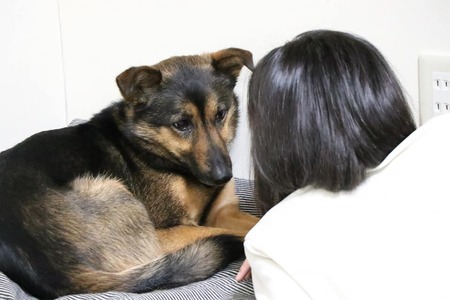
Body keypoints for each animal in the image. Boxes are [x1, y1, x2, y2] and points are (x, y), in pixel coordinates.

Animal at [0, 48, 258, 298]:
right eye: (181, 124)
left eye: (220, 115)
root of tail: (58, 274)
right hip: (116, 194)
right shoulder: (167, 231)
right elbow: (246, 231)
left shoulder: (223, 212)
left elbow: (255, 221)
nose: (223, 176)